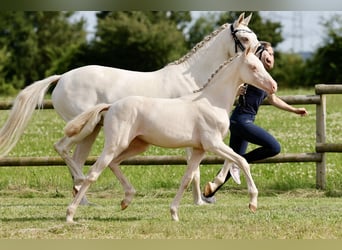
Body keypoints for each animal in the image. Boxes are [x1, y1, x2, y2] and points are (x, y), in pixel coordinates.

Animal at [0, 12, 258, 205]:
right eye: (244, 40)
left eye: (254, 38)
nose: (260, 61)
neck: (196, 82)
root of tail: (62, 77)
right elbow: (194, 169)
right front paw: (201, 198)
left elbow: (199, 166)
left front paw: (202, 197)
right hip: (84, 128)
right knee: (62, 149)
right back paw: (82, 186)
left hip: (91, 131)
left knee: (76, 158)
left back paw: (83, 199)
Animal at [64, 47, 278, 223]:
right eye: (253, 66)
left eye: (261, 65)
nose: (274, 86)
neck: (212, 102)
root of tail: (111, 106)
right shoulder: (214, 144)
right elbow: (242, 161)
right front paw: (253, 203)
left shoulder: (199, 149)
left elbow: (187, 179)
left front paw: (174, 213)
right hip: (115, 144)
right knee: (92, 173)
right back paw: (70, 215)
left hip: (138, 145)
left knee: (114, 164)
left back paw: (126, 200)